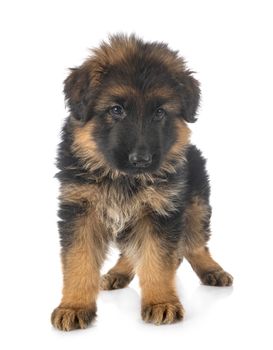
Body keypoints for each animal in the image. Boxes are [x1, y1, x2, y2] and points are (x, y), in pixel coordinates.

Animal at [51, 34, 232, 330]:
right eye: (116, 110)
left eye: (159, 112)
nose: (141, 160)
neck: (123, 179)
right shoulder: (80, 211)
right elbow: (79, 261)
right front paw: (74, 306)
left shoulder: (161, 212)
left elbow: (157, 261)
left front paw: (160, 302)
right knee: (132, 252)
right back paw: (118, 273)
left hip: (197, 205)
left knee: (195, 243)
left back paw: (212, 270)